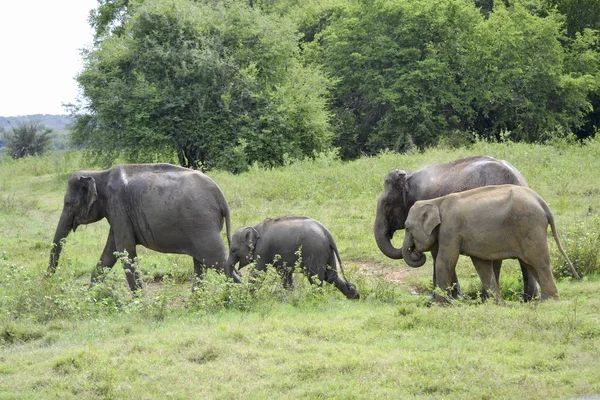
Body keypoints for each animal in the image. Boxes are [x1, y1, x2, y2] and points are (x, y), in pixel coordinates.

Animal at [47, 162, 237, 290]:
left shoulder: (118, 206)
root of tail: (221, 197)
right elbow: (111, 252)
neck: (99, 174)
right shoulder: (117, 213)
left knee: (217, 260)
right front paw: (91, 299)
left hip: (201, 223)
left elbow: (125, 249)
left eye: (68, 203)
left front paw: (141, 305)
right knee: (202, 263)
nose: (47, 281)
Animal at [224, 217, 356, 298]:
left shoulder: (262, 250)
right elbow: (284, 273)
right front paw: (289, 295)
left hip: (315, 251)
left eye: (233, 250)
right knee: (331, 276)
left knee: (315, 277)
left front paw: (248, 296)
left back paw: (316, 297)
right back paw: (354, 296)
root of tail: (326, 232)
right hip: (327, 251)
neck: (255, 227)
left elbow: (258, 273)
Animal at [376, 155, 540, 300]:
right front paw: (456, 297)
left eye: (388, 204)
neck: (409, 175)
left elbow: (437, 251)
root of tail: (518, 180)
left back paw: (488, 298)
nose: (416, 252)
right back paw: (528, 299)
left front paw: (437, 298)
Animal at [400, 184, 580, 304]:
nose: (416, 252)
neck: (437, 201)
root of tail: (542, 202)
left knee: (539, 262)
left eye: (407, 228)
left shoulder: (450, 230)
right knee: (531, 263)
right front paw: (497, 303)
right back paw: (545, 301)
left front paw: (441, 304)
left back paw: (549, 302)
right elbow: (482, 265)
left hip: (530, 226)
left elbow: (445, 261)